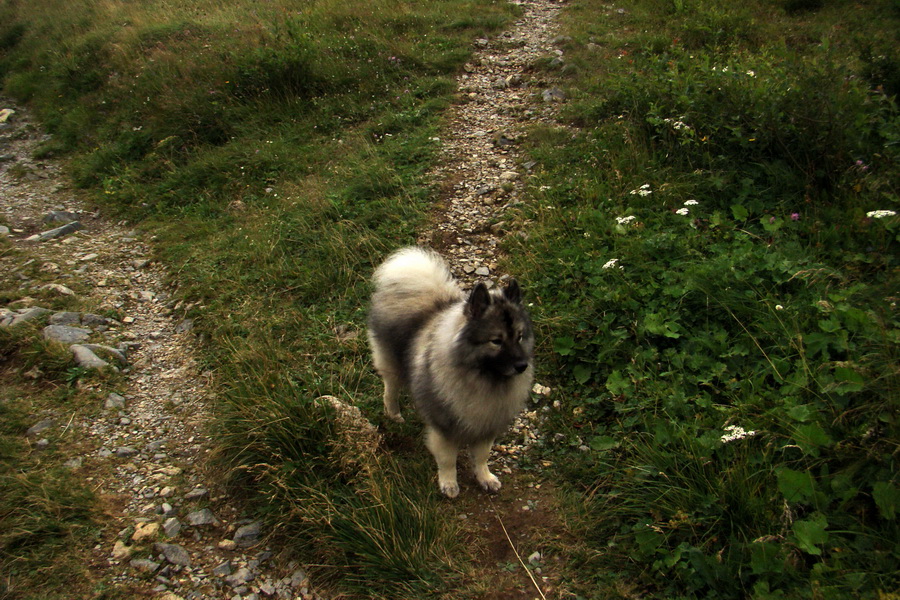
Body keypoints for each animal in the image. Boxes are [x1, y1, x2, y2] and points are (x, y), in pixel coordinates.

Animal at [368, 246, 536, 500]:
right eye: (496, 341)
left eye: (519, 336)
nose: (522, 365)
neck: (482, 378)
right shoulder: (444, 427)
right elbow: (448, 459)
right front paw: (448, 483)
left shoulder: (487, 424)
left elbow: (482, 456)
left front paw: (485, 478)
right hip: (391, 364)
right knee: (391, 389)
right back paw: (394, 414)